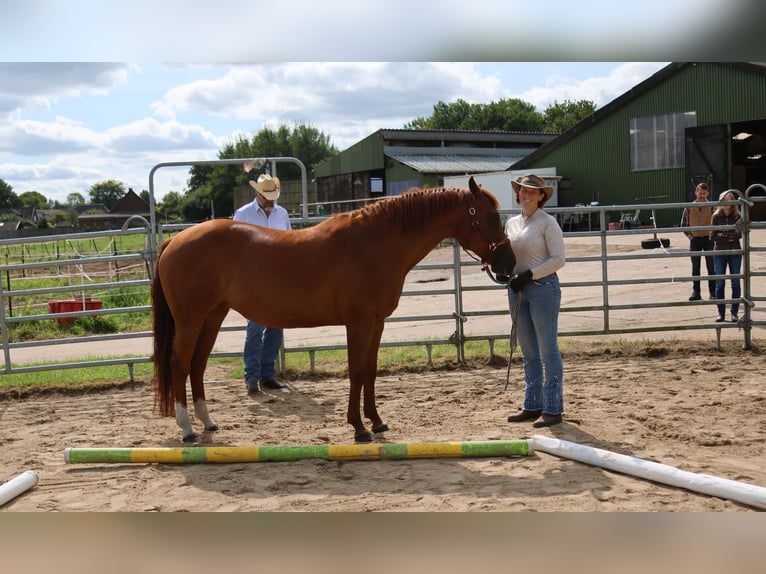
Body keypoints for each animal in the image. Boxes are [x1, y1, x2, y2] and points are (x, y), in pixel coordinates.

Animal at [152, 176, 515, 443]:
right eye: (491, 217)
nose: (509, 263)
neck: (373, 244)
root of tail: (174, 241)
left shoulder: (377, 324)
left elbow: (370, 371)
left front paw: (377, 421)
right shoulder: (358, 323)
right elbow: (356, 371)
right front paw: (359, 429)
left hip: (213, 316)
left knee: (197, 365)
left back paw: (208, 422)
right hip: (190, 320)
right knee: (179, 364)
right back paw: (187, 429)